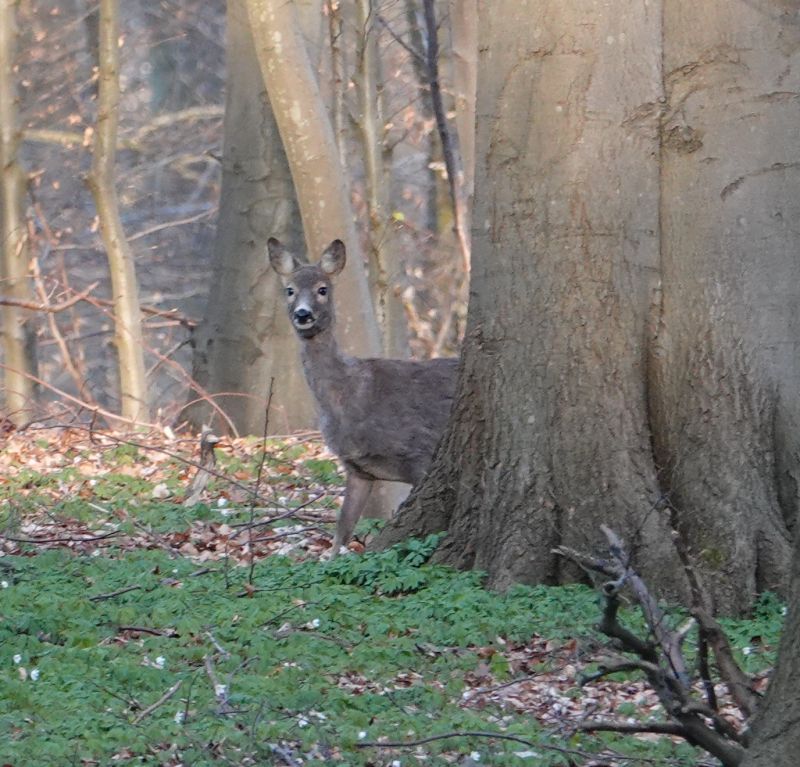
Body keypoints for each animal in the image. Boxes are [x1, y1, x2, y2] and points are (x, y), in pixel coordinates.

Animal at [268, 237, 456, 556]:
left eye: (323, 289)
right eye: (289, 289)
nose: (303, 314)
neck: (350, 395)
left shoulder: (419, 452)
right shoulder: (357, 469)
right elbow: (341, 531)